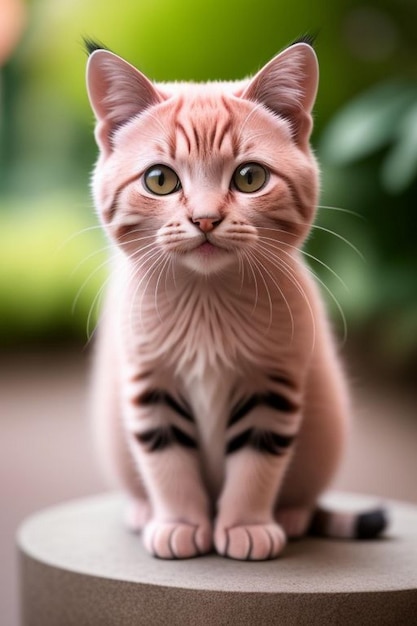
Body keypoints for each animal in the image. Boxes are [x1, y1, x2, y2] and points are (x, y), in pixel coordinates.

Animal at [85, 37, 386, 556]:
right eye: (160, 180)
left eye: (249, 178)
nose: (205, 218)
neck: (208, 301)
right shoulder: (149, 382)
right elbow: (166, 461)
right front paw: (180, 522)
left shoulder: (274, 382)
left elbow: (256, 464)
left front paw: (247, 525)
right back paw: (143, 511)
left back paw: (292, 515)